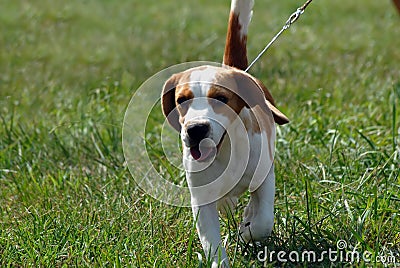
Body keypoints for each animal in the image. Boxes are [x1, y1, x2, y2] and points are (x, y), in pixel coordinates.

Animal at [161, 0, 290, 266]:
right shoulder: (201, 199)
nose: (196, 129)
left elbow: (263, 220)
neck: (226, 150)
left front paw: (247, 232)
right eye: (182, 100)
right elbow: (211, 241)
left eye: (221, 98)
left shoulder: (265, 177)